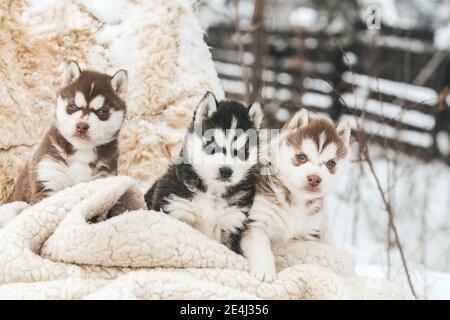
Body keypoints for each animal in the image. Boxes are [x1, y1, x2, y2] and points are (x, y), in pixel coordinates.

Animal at [8, 61, 128, 204]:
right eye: (73, 106)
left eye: (102, 111)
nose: (82, 126)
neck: (82, 150)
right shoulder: (48, 175)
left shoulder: (101, 179)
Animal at [144, 92, 264, 252]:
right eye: (212, 145)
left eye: (242, 151)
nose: (226, 171)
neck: (212, 192)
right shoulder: (175, 206)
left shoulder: (233, 221)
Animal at [243, 109, 352, 282]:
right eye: (301, 156)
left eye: (331, 163)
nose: (314, 178)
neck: (296, 199)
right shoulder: (257, 221)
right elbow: (261, 248)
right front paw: (265, 271)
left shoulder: (309, 234)